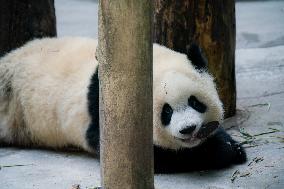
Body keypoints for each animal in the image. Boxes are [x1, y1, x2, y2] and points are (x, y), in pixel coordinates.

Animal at [0, 37, 246, 173]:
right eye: (166, 111)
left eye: (195, 102)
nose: (188, 129)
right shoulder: (106, 109)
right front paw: (221, 151)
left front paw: (233, 146)